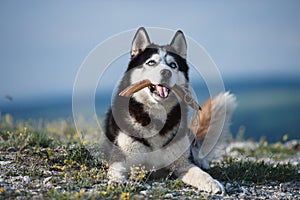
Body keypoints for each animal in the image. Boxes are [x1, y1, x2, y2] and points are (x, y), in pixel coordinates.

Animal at [103, 27, 237, 194]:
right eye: (151, 62)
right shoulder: (121, 160)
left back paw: (202, 161)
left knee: (196, 150)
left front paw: (212, 182)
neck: (157, 116)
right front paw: (119, 182)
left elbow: (198, 172)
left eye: (173, 65)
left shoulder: (183, 165)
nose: (166, 72)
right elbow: (117, 171)